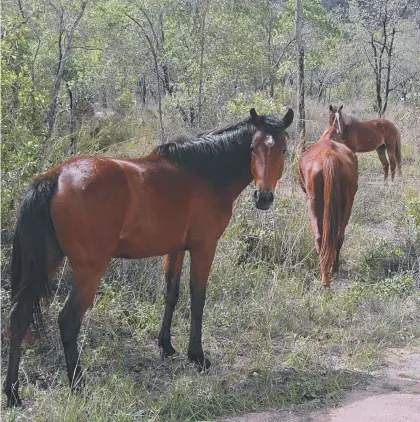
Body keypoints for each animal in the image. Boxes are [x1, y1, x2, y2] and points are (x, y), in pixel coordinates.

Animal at [4, 107, 292, 408]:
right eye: (252, 148)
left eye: (283, 149)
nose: (263, 197)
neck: (204, 174)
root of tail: (56, 176)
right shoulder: (203, 247)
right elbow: (197, 299)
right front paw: (197, 356)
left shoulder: (175, 249)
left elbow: (171, 294)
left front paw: (166, 346)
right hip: (88, 271)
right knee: (68, 321)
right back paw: (78, 383)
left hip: (45, 264)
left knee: (18, 319)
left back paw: (12, 393)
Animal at [298, 129, 358, 286]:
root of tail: (328, 155)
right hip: (347, 204)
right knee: (338, 236)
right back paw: (332, 270)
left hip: (313, 203)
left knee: (319, 237)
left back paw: (326, 275)